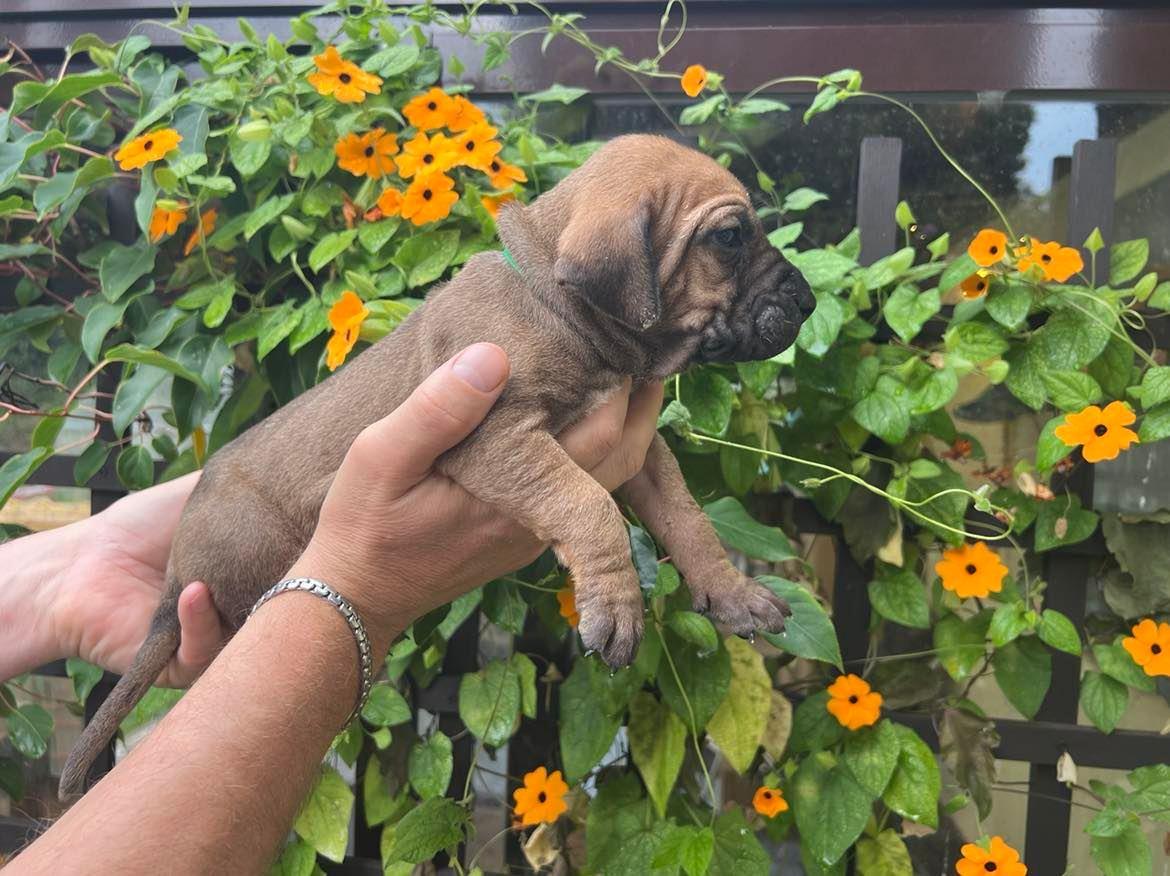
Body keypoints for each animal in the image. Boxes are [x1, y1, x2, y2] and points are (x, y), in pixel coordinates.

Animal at [59, 133, 814, 795]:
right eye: (729, 237)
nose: (808, 301)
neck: (558, 306)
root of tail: (172, 586)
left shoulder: (640, 451)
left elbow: (688, 518)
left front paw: (731, 591)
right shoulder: (497, 436)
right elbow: (587, 503)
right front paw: (618, 605)